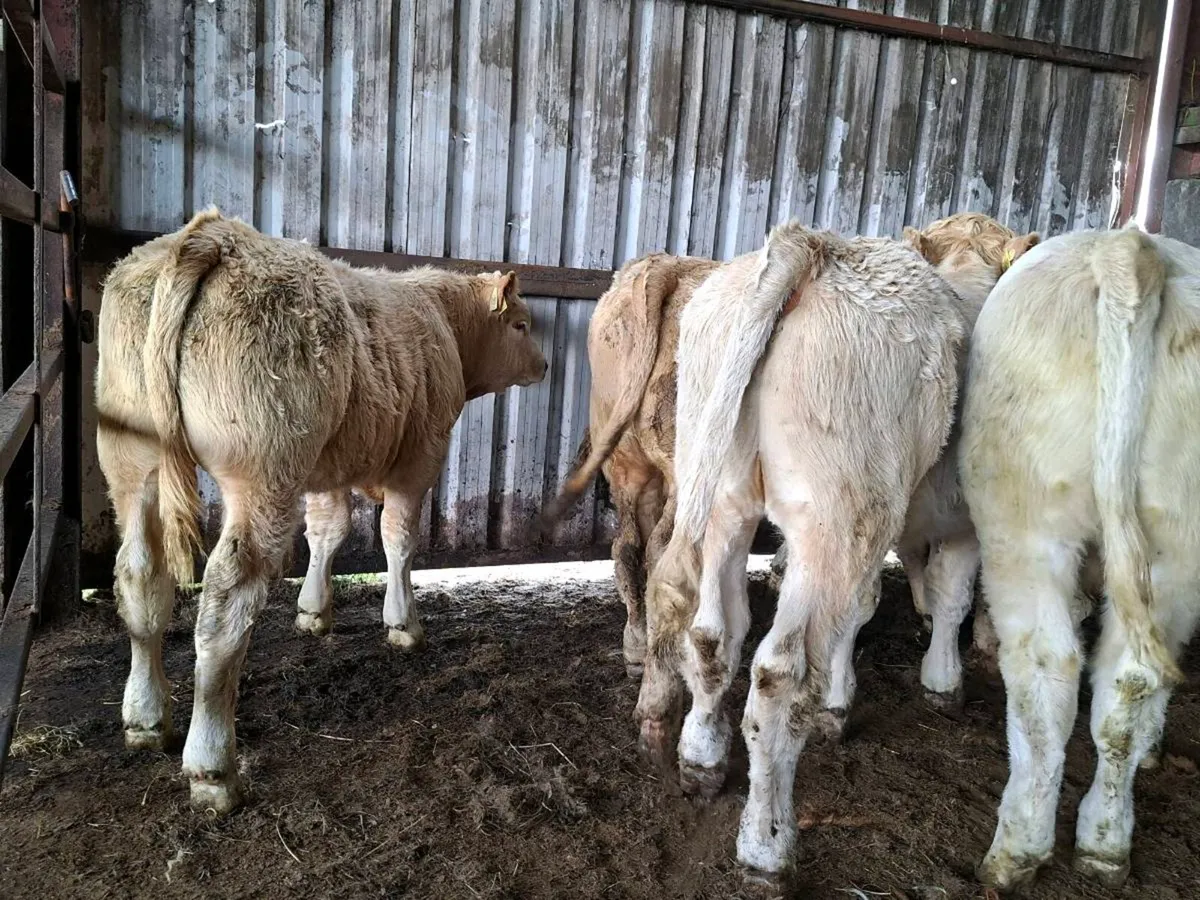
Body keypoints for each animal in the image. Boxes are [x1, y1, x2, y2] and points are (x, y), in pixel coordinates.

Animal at [95, 208, 547, 815]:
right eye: (521, 325)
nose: (543, 364)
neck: (443, 323)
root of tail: (216, 234)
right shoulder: (420, 457)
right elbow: (398, 539)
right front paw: (403, 624)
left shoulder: (327, 470)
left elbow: (328, 533)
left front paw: (313, 612)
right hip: (263, 471)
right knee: (227, 597)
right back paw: (213, 766)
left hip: (131, 461)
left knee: (140, 575)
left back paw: (145, 718)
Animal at [543, 253, 720, 676]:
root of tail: (666, 267)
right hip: (685, 469)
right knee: (661, 552)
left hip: (626, 460)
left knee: (627, 546)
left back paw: (637, 646)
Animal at [634, 213, 1037, 881]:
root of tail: (813, 246)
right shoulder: (961, 522)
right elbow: (947, 599)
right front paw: (942, 681)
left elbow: (863, 608)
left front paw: (841, 701)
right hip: (837, 520)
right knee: (779, 675)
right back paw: (767, 845)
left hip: (723, 496)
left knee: (711, 635)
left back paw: (701, 758)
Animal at [960, 226, 1200, 891]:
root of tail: (1130, 249)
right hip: (1174, 540)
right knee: (1129, 678)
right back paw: (1105, 840)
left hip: (1025, 522)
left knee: (1055, 671)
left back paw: (1025, 844)